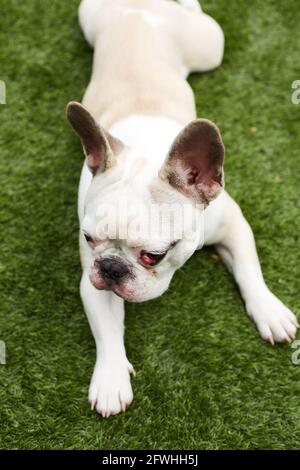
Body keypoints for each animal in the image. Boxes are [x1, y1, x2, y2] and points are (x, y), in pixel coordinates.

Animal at [65, 0, 298, 416]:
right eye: (89, 239)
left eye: (153, 256)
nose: (110, 267)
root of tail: (139, 7)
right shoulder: (91, 280)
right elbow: (106, 331)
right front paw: (111, 378)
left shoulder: (233, 225)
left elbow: (250, 271)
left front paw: (268, 310)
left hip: (211, 44)